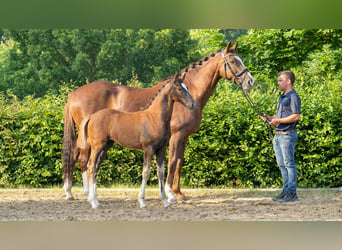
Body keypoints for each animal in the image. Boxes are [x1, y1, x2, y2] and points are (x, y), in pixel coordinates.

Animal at [77, 74, 195, 209]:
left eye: (187, 87)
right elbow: (146, 172)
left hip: (105, 146)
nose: (193, 104)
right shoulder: (148, 149)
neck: (154, 118)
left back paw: (96, 201)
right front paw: (142, 201)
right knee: (91, 166)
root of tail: (92, 116)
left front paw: (165, 202)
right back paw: (93, 202)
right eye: (180, 89)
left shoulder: (161, 149)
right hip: (97, 147)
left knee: (95, 168)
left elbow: (160, 172)